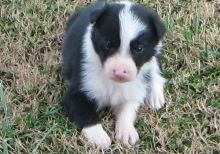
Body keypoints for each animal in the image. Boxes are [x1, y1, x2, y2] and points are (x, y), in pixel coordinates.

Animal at [62, 0, 166, 149]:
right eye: (108, 44)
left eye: (139, 48)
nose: (119, 72)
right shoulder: (77, 91)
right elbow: (86, 113)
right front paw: (99, 137)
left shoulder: (133, 88)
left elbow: (128, 108)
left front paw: (127, 131)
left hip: (155, 52)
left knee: (156, 68)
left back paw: (155, 96)